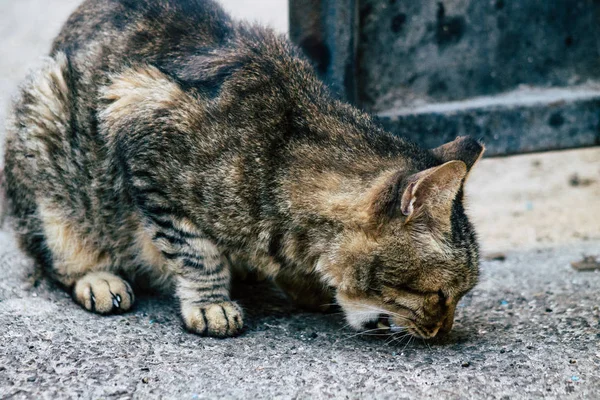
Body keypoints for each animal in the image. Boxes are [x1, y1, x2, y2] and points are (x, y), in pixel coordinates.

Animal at [2, 0, 486, 338]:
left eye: (460, 296)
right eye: (439, 295)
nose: (442, 333)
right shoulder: (141, 120)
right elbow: (196, 250)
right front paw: (211, 303)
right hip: (47, 130)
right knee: (54, 252)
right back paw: (98, 277)